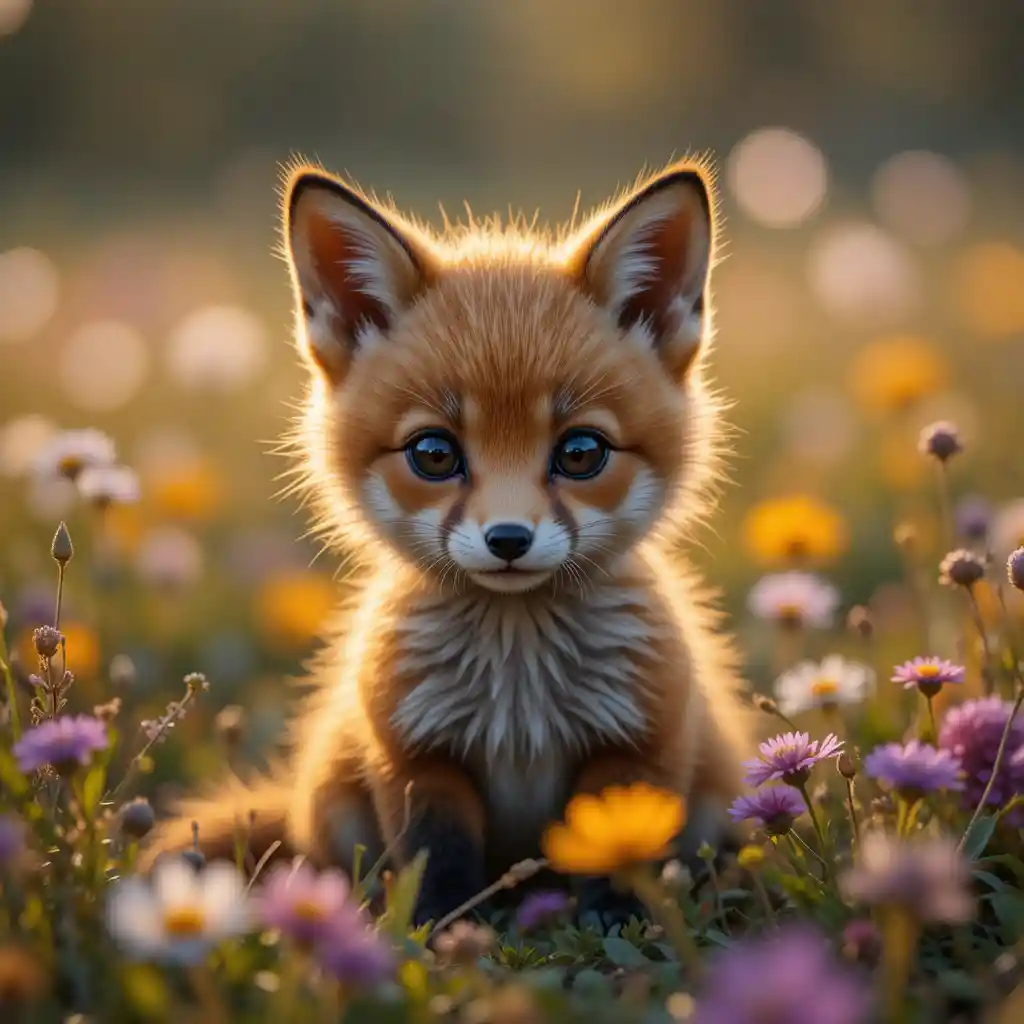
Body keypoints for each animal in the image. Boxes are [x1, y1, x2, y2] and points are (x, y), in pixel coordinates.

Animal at [141, 158, 757, 929]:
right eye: (434, 454)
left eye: (581, 452)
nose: (508, 538)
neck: (519, 693)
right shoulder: (416, 761)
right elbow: (437, 870)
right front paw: (442, 937)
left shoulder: (638, 748)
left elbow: (619, 867)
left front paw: (615, 926)